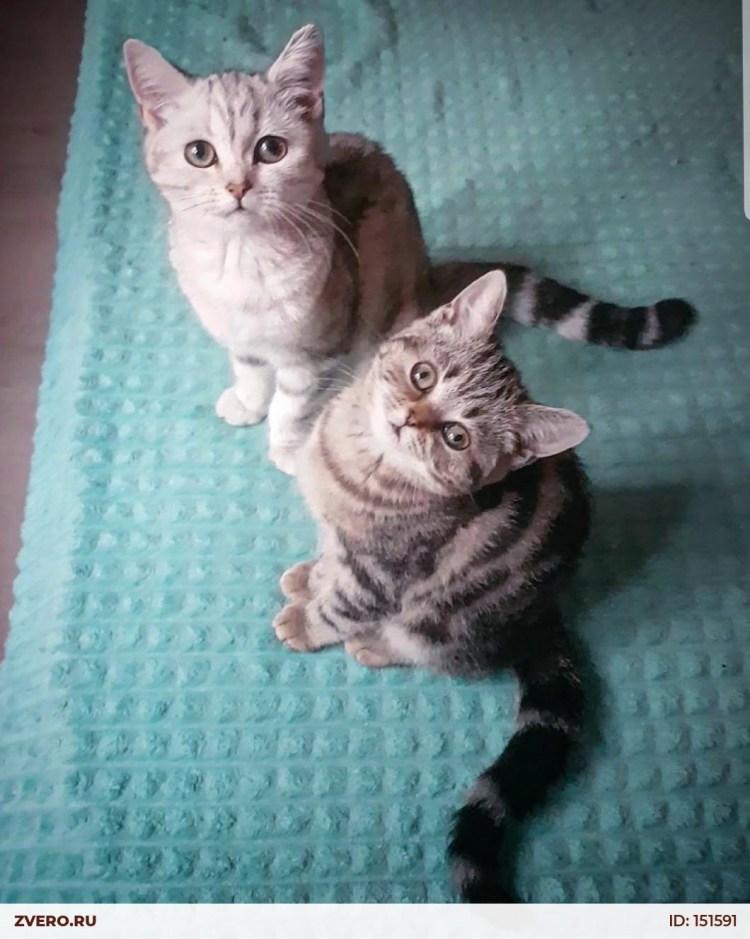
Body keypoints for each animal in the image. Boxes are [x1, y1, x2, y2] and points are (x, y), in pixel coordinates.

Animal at [124, 25, 695, 475]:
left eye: (272, 149)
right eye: (200, 154)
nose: (238, 187)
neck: (240, 261)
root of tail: (426, 275)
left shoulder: (320, 347)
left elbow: (292, 401)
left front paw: (285, 443)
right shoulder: (240, 336)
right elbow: (248, 367)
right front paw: (247, 399)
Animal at [273, 270, 592, 902]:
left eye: (456, 437)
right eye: (424, 375)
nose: (409, 420)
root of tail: (545, 613)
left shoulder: (380, 573)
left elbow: (341, 604)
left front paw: (306, 620)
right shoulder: (342, 541)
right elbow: (328, 563)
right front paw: (308, 576)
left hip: (441, 619)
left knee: (435, 651)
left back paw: (376, 645)